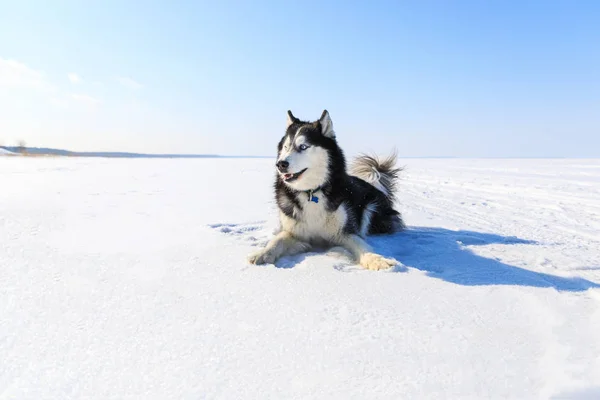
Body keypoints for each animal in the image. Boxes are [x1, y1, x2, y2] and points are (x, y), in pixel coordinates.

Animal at [246, 109, 406, 270]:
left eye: (303, 146)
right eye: (285, 147)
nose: (280, 164)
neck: (311, 192)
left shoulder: (344, 232)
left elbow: (362, 246)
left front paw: (376, 260)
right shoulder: (295, 232)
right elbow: (278, 239)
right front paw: (262, 253)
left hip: (371, 208)